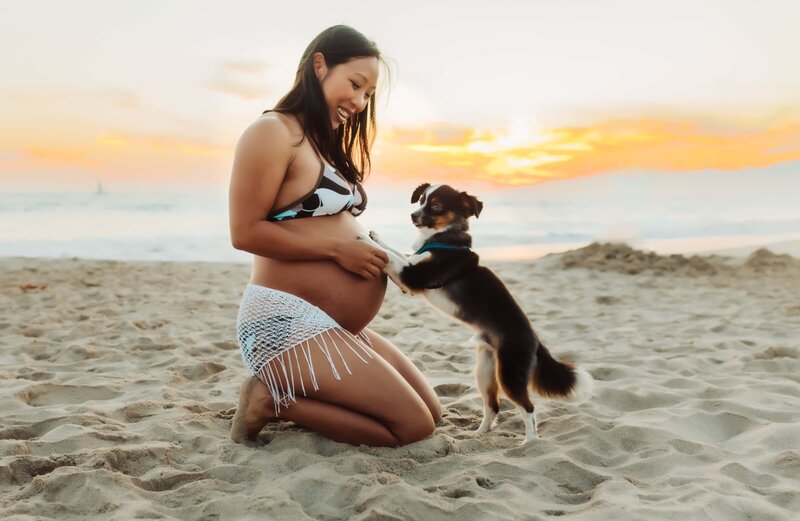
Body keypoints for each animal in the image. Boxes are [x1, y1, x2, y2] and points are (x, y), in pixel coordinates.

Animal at [360, 183, 592, 442]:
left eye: (436, 206)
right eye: (421, 200)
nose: (413, 215)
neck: (442, 239)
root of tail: (535, 338)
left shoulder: (413, 277)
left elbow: (391, 256)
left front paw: (366, 240)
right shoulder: (411, 268)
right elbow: (398, 252)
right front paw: (376, 236)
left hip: (510, 372)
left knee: (528, 408)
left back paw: (530, 443)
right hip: (485, 371)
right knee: (493, 406)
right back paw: (479, 434)